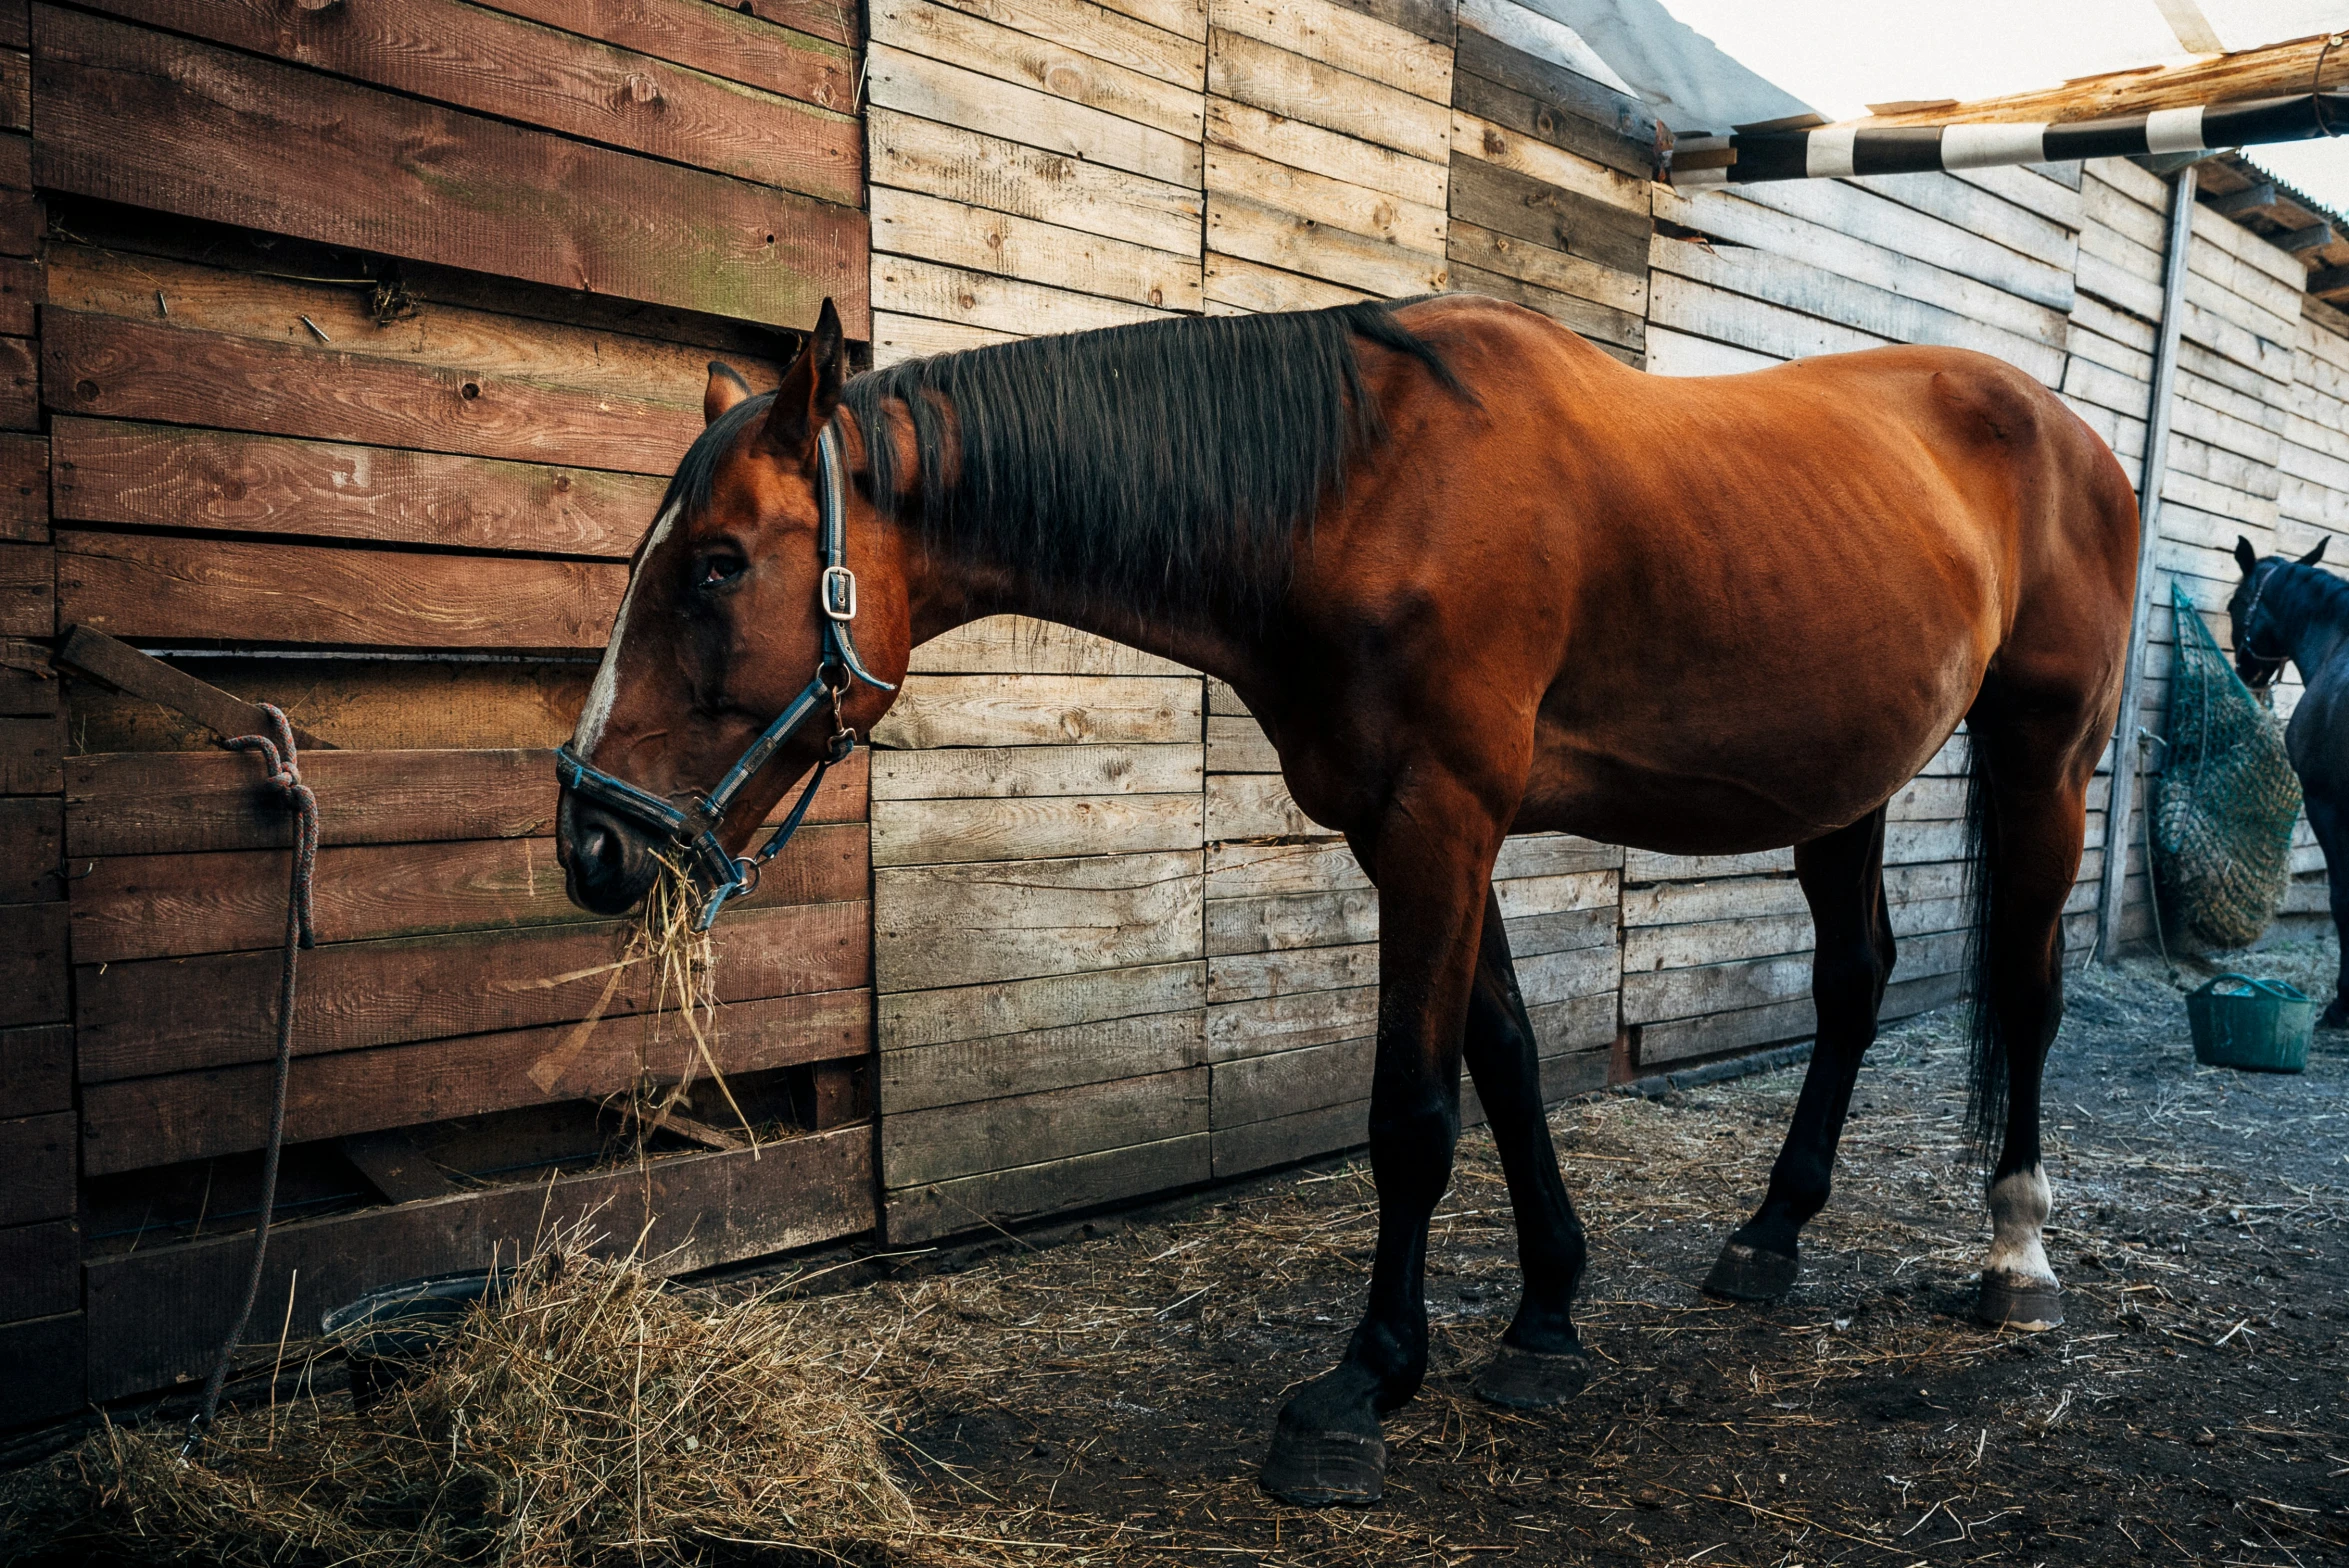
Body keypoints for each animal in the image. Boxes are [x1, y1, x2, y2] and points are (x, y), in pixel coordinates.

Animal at [559, 293, 2142, 1502]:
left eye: (716, 566)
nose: (591, 843)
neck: (1359, 491)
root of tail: (2065, 431)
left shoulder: (1439, 825)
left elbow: (1414, 1114)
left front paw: (1365, 1382)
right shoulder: (1431, 834)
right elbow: (1506, 1064)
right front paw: (1546, 1319)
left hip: (2043, 753)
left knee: (2031, 989)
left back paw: (2016, 1251)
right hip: (1843, 785)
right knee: (1855, 984)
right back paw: (1770, 1236)